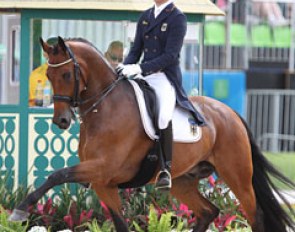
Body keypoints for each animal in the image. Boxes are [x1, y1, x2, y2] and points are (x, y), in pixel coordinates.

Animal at [9, 37, 295, 231]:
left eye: (67, 74)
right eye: (48, 74)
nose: (61, 120)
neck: (105, 106)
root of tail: (230, 113)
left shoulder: (102, 168)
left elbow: (57, 175)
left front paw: (19, 211)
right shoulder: (103, 183)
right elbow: (120, 224)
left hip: (237, 175)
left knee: (255, 216)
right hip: (182, 181)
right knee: (208, 211)